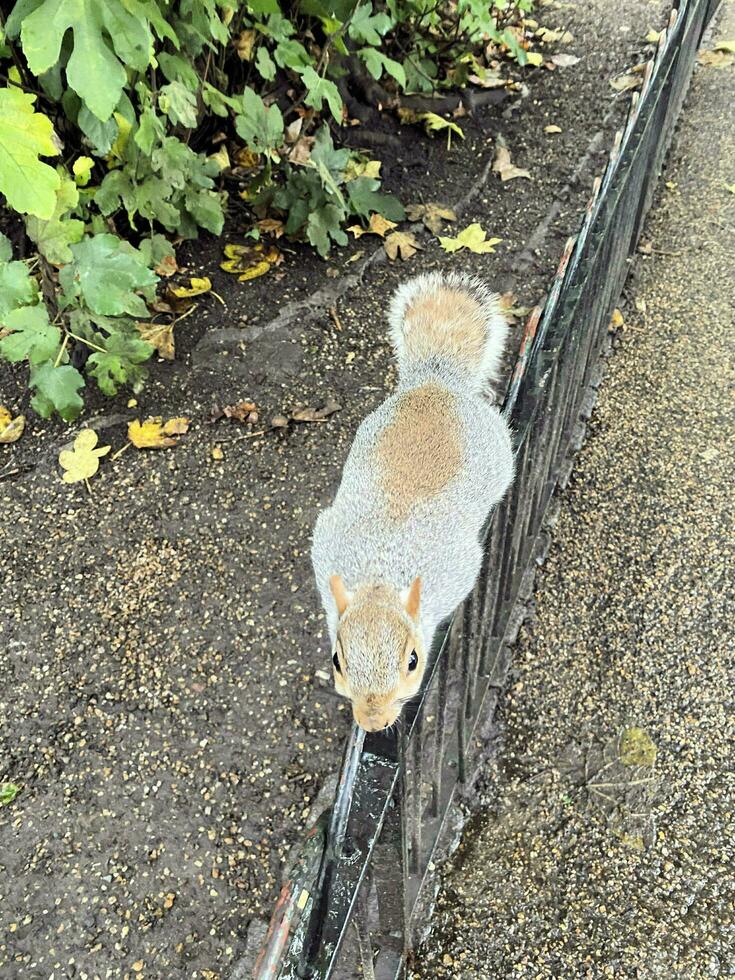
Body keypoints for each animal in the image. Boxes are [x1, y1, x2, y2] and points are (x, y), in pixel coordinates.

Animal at [310, 272, 512, 732]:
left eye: (414, 662)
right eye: (337, 661)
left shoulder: (457, 568)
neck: (379, 576)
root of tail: (435, 382)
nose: (372, 723)